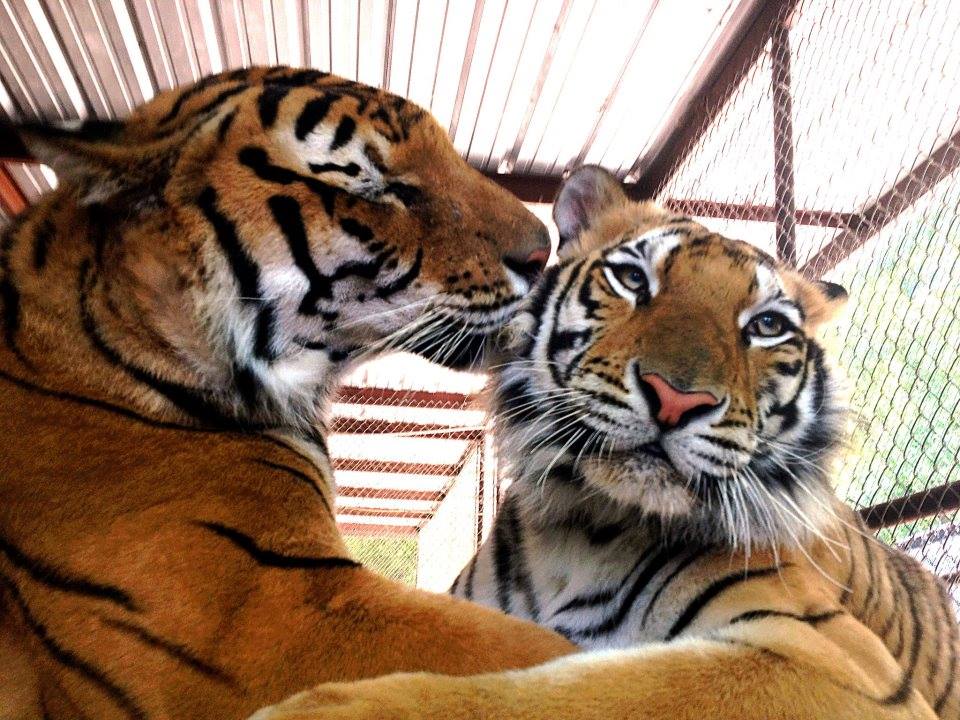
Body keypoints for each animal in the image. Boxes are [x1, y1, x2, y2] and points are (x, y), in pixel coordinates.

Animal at [253, 165, 960, 720]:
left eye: (766, 326)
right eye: (633, 280)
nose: (677, 399)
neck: (578, 533)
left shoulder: (836, 662)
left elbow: (582, 695)